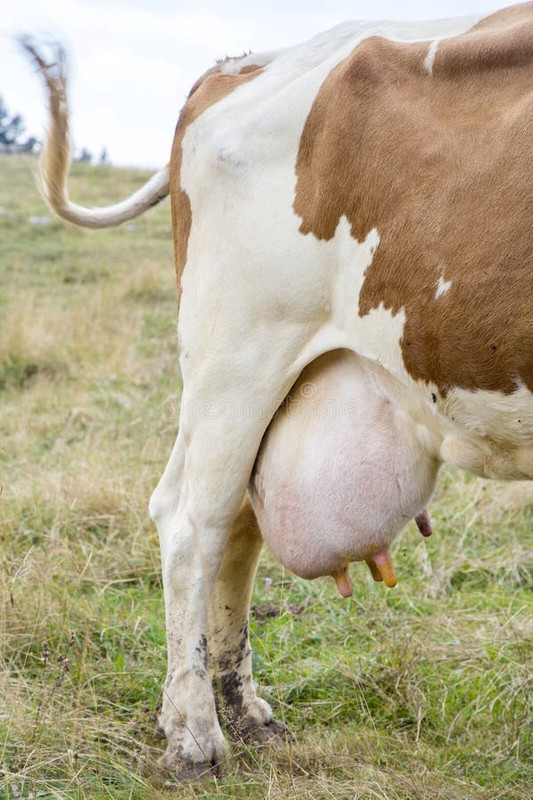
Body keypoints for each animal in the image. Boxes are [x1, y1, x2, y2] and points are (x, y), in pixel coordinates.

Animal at [22, 1, 533, 776]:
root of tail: (243, 61)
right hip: (235, 356)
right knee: (190, 522)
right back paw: (196, 737)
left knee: (235, 521)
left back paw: (236, 710)